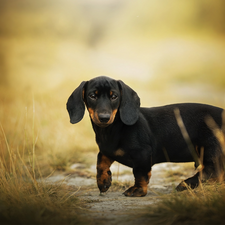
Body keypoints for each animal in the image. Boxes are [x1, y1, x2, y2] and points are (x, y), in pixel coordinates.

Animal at [67, 76, 225, 197]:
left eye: (114, 96)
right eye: (92, 96)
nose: (104, 118)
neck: (113, 129)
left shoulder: (142, 154)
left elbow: (140, 173)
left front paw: (138, 190)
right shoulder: (108, 150)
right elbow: (101, 162)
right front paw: (104, 181)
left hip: (211, 147)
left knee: (214, 172)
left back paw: (186, 184)